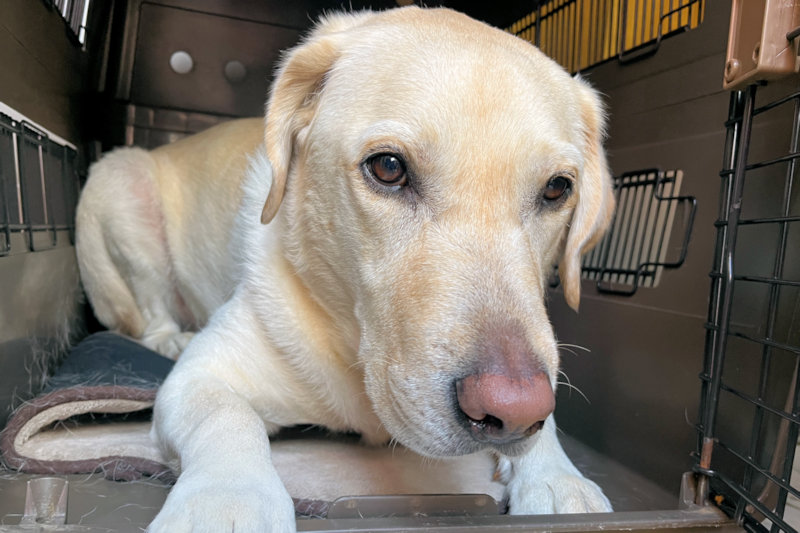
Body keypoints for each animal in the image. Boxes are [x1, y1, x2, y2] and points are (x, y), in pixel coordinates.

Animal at [75, 6, 615, 532]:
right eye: (389, 168)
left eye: (557, 189)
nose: (513, 410)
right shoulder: (199, 376)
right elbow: (226, 417)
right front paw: (228, 500)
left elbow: (551, 413)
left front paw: (558, 476)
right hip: (119, 181)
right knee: (150, 313)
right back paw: (169, 337)